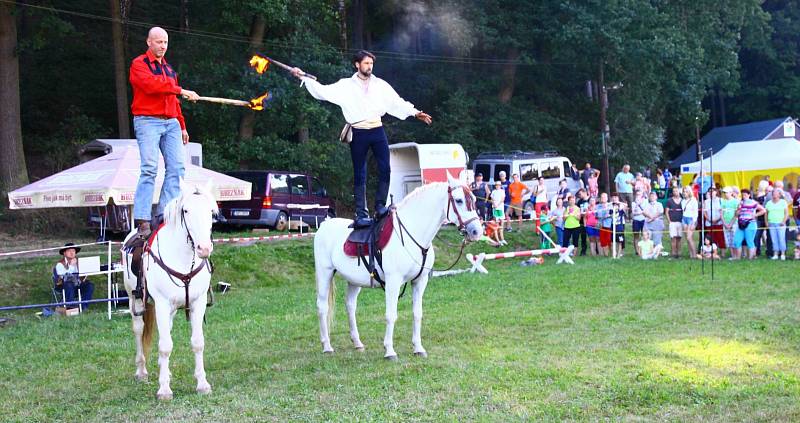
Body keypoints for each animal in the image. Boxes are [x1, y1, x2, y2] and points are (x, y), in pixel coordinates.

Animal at [120, 182, 217, 400]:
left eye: (211, 211)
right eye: (186, 210)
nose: (204, 248)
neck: (183, 259)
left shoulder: (198, 303)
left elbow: (198, 342)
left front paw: (203, 384)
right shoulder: (162, 304)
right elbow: (165, 346)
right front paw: (164, 389)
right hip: (134, 299)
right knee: (138, 329)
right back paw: (142, 371)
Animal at [310, 174, 482, 360]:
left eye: (473, 199)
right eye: (458, 200)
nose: (476, 231)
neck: (414, 234)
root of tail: (324, 225)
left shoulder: (420, 282)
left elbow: (417, 314)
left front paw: (418, 348)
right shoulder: (393, 282)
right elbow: (391, 315)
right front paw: (389, 351)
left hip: (354, 281)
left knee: (350, 306)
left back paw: (357, 343)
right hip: (325, 273)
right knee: (322, 307)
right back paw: (327, 346)